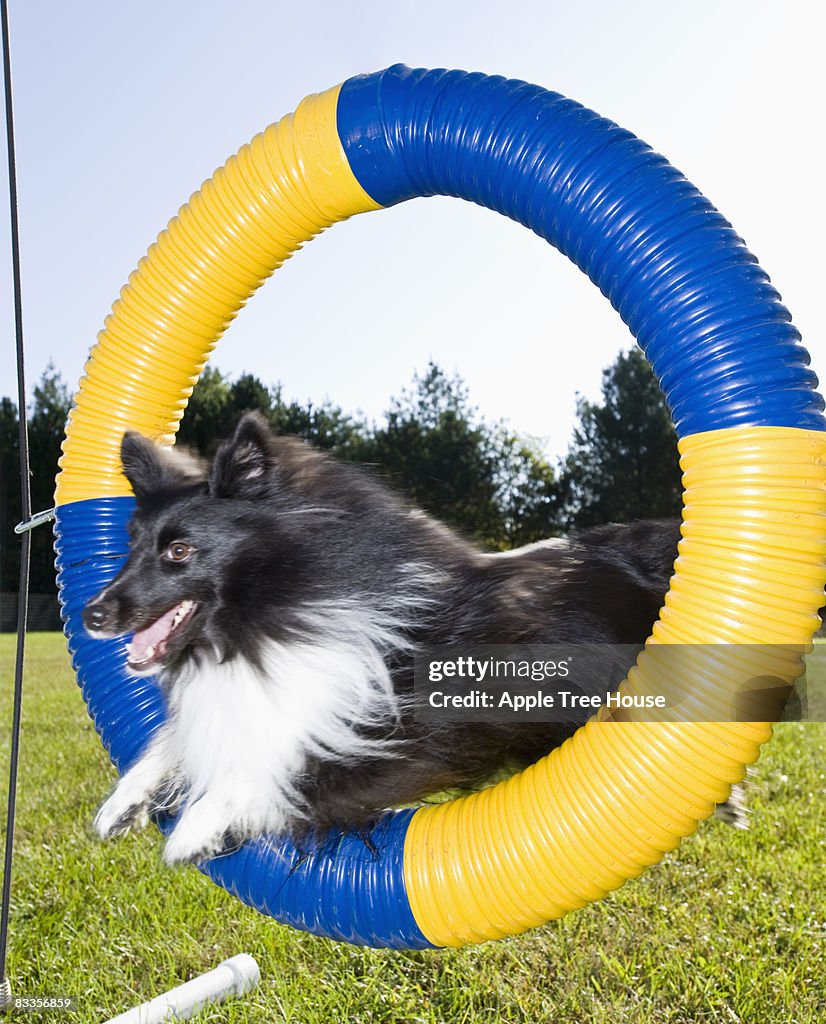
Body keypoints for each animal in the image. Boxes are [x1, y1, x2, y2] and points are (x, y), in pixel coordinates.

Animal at [82, 409, 741, 864]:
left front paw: (192, 829)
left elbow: (273, 771)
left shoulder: (376, 735)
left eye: (179, 551)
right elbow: (185, 739)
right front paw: (124, 803)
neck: (274, 614)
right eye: (130, 546)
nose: (91, 616)